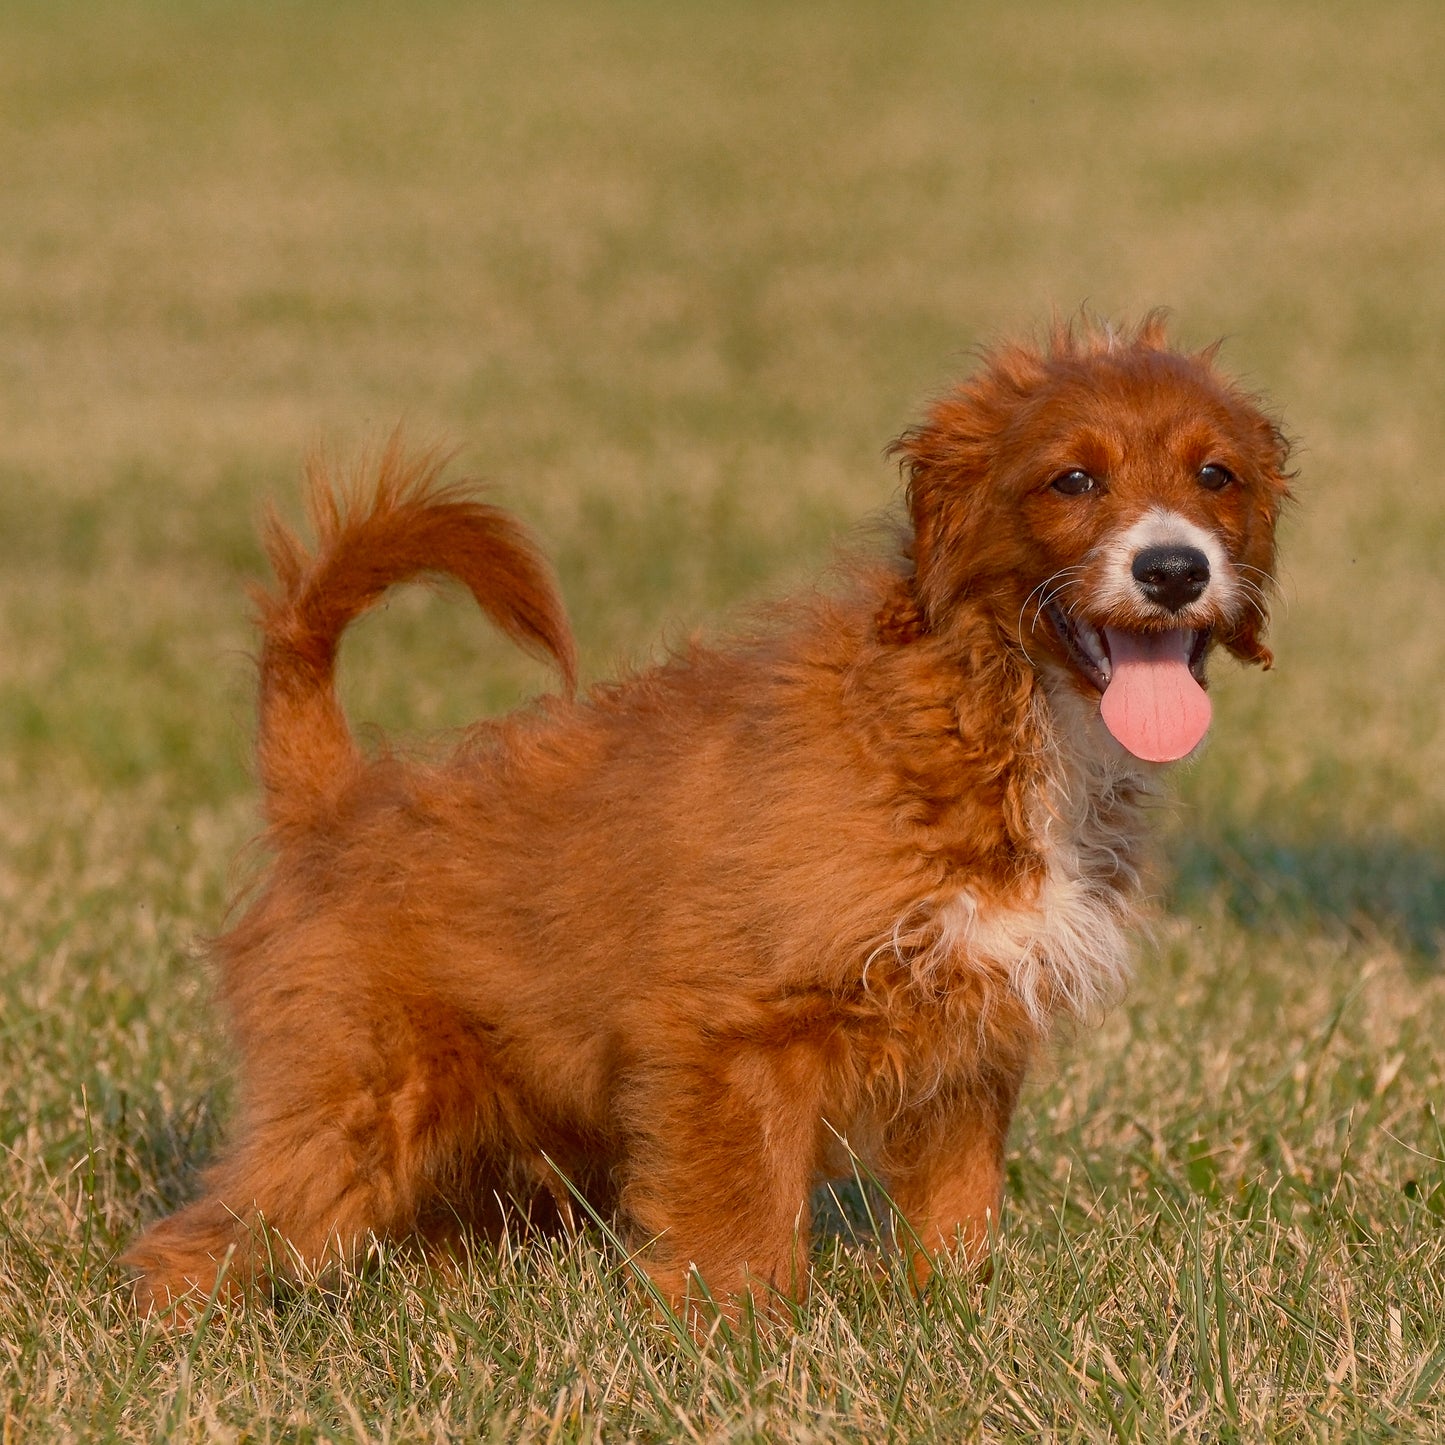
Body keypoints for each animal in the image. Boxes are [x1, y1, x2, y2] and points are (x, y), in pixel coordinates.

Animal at [130, 316, 1294, 1323]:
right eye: (1072, 480)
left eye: (1214, 476)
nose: (1173, 567)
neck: (981, 708)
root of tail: (335, 798)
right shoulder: (730, 1036)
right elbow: (739, 1231)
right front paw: (742, 1351)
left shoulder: (968, 1047)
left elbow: (958, 1213)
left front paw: (961, 1316)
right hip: (351, 1106)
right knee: (190, 1246)